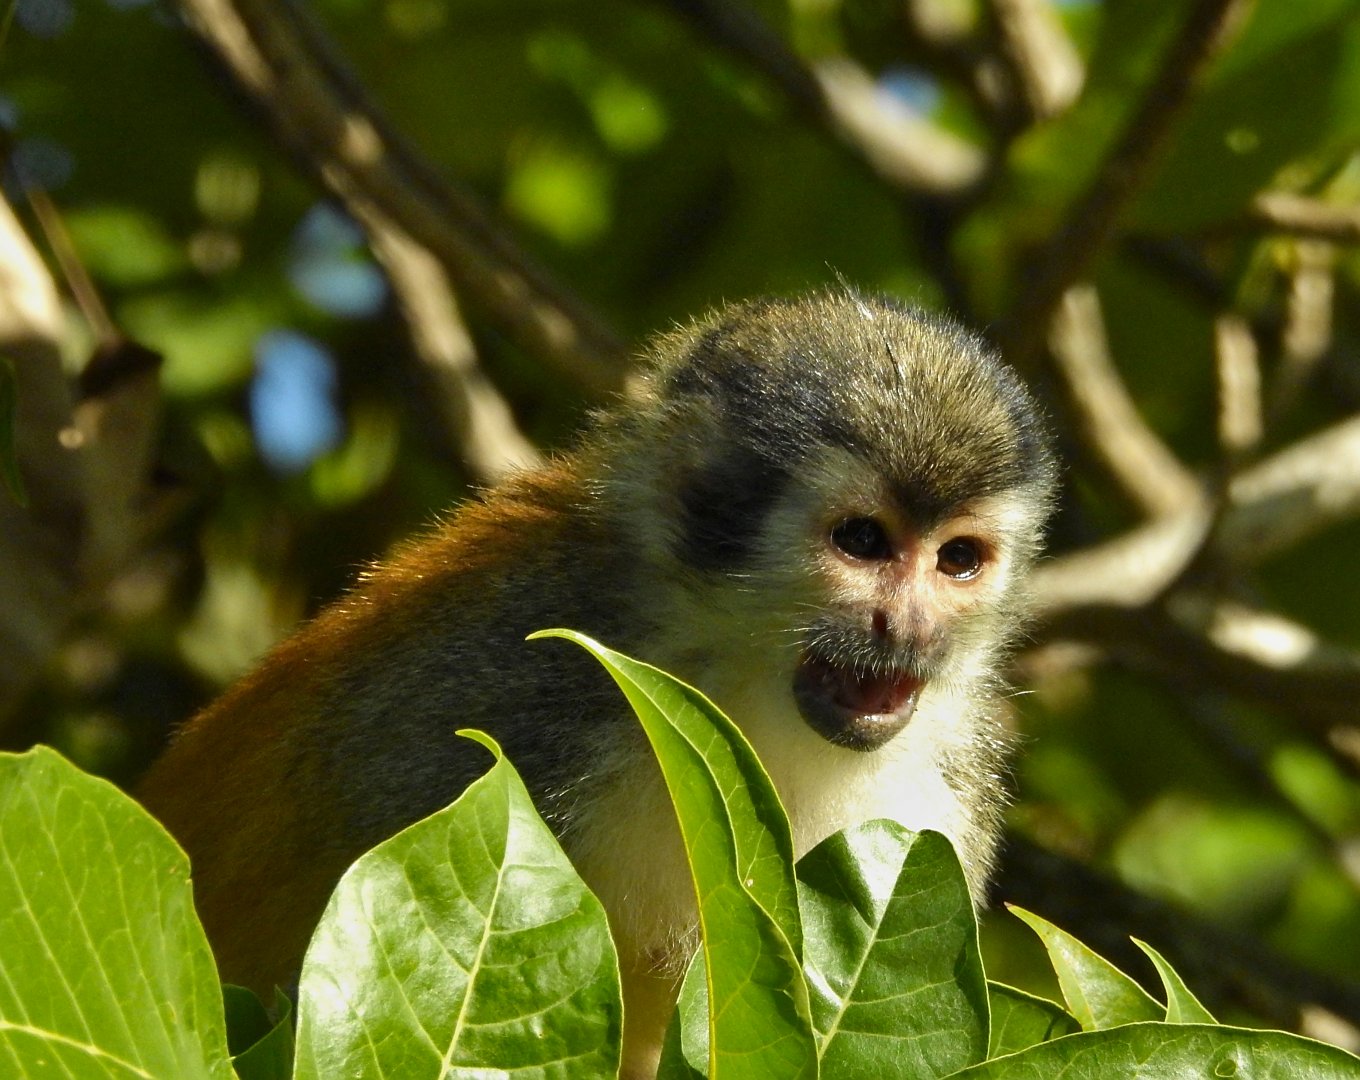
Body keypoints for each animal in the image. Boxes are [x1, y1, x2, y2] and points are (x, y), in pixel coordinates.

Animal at [138, 289, 1057, 1077]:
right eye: (864, 540)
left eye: (957, 559)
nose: (910, 627)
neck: (734, 677)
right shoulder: (512, 692)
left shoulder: (947, 794)